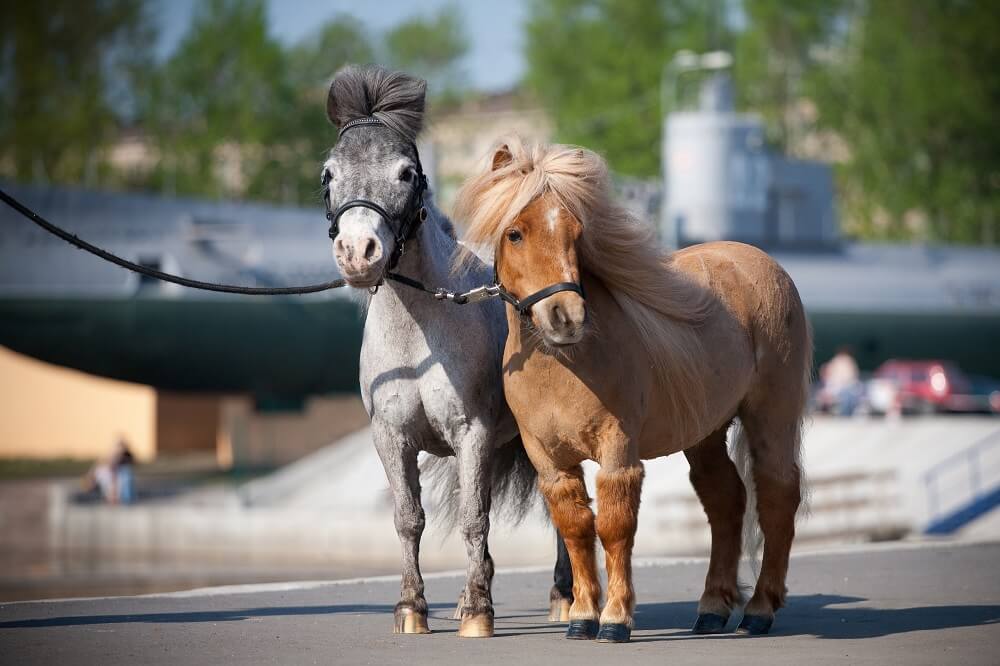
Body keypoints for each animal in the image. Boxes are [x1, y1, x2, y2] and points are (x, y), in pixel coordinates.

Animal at [322, 65, 572, 636]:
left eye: (405, 173)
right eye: (328, 174)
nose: (357, 253)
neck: (419, 339)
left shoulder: (472, 434)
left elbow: (474, 519)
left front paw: (478, 612)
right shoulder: (391, 439)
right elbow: (408, 520)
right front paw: (413, 608)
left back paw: (565, 596)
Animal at [454, 137, 812, 640]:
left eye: (576, 231)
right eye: (515, 233)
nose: (566, 317)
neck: (567, 366)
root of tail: (764, 263)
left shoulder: (618, 449)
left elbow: (614, 527)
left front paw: (615, 618)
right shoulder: (550, 461)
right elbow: (577, 529)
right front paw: (582, 616)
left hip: (770, 417)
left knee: (778, 495)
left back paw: (760, 609)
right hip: (705, 433)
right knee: (726, 500)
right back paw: (711, 608)